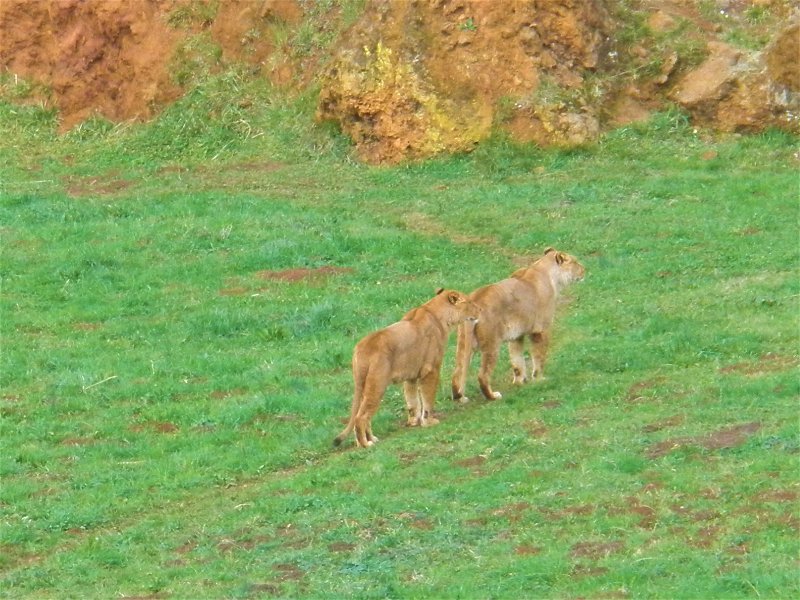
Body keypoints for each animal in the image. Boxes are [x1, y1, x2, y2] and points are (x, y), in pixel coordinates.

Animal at [334, 288, 478, 448]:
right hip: (377, 384)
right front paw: (428, 422)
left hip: (364, 386)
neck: (439, 315)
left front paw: (414, 422)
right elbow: (428, 398)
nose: (479, 310)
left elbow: (412, 401)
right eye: (469, 302)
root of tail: (361, 348)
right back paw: (365, 444)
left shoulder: (411, 376)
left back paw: (371, 439)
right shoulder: (431, 370)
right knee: (360, 417)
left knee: (363, 416)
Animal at [454, 248, 584, 404]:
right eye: (575, 262)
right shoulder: (541, 330)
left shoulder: (516, 336)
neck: (546, 271)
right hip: (492, 345)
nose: (584, 270)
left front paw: (520, 382)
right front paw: (539, 379)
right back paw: (493, 396)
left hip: (463, 344)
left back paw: (460, 398)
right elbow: (539, 356)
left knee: (457, 374)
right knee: (483, 375)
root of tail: (473, 301)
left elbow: (517, 361)